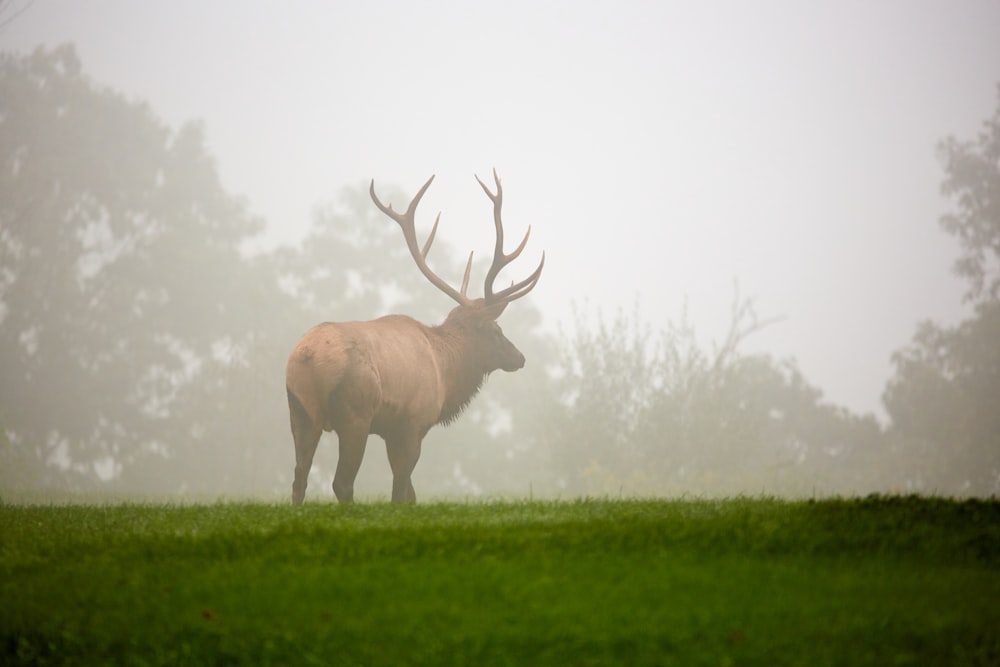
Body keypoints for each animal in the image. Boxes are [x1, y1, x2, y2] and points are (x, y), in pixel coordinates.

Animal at [286, 172, 544, 506]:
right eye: (496, 330)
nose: (520, 357)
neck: (446, 372)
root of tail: (306, 357)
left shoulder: (392, 430)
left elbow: (410, 494)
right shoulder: (412, 423)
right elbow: (401, 491)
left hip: (299, 411)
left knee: (299, 479)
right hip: (355, 412)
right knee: (341, 483)